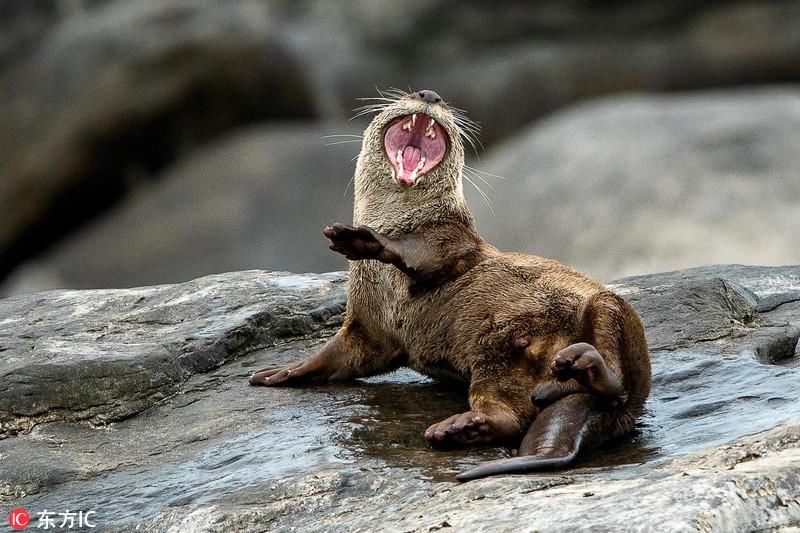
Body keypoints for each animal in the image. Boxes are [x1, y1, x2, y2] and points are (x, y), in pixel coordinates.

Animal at [250, 89, 648, 480]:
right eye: (413, 91)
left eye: (443, 100)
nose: (429, 94)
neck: (400, 219)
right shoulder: (369, 321)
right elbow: (344, 353)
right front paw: (282, 372)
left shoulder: (452, 238)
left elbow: (426, 253)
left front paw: (369, 241)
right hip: (501, 365)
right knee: (513, 414)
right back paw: (463, 428)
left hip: (606, 311)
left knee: (609, 377)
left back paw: (584, 366)